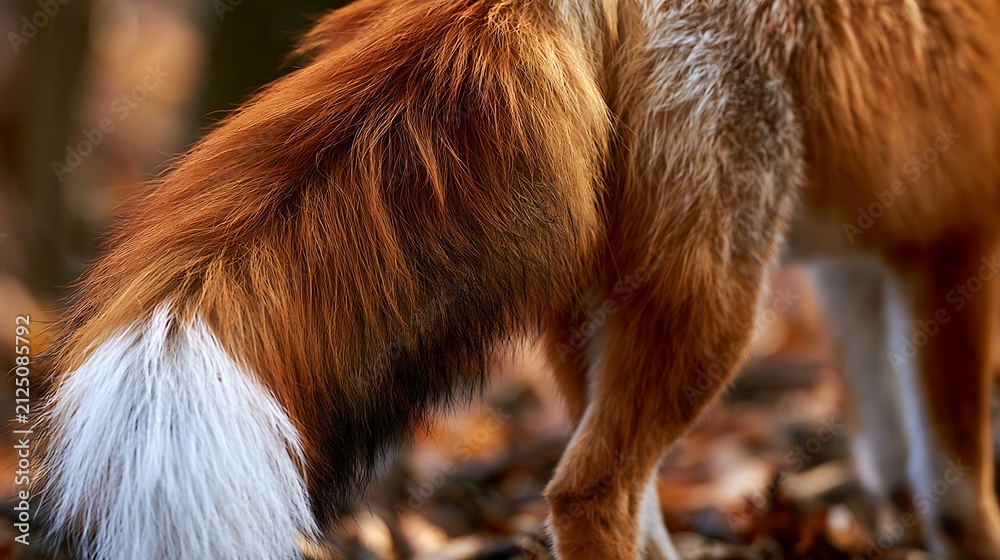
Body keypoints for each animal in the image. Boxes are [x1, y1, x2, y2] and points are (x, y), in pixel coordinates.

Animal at [37, 0, 1000, 559]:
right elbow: (956, 496)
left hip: (605, 310)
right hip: (717, 302)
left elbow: (890, 459)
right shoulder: (957, 241)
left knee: (627, 504)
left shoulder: (862, 261)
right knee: (589, 493)